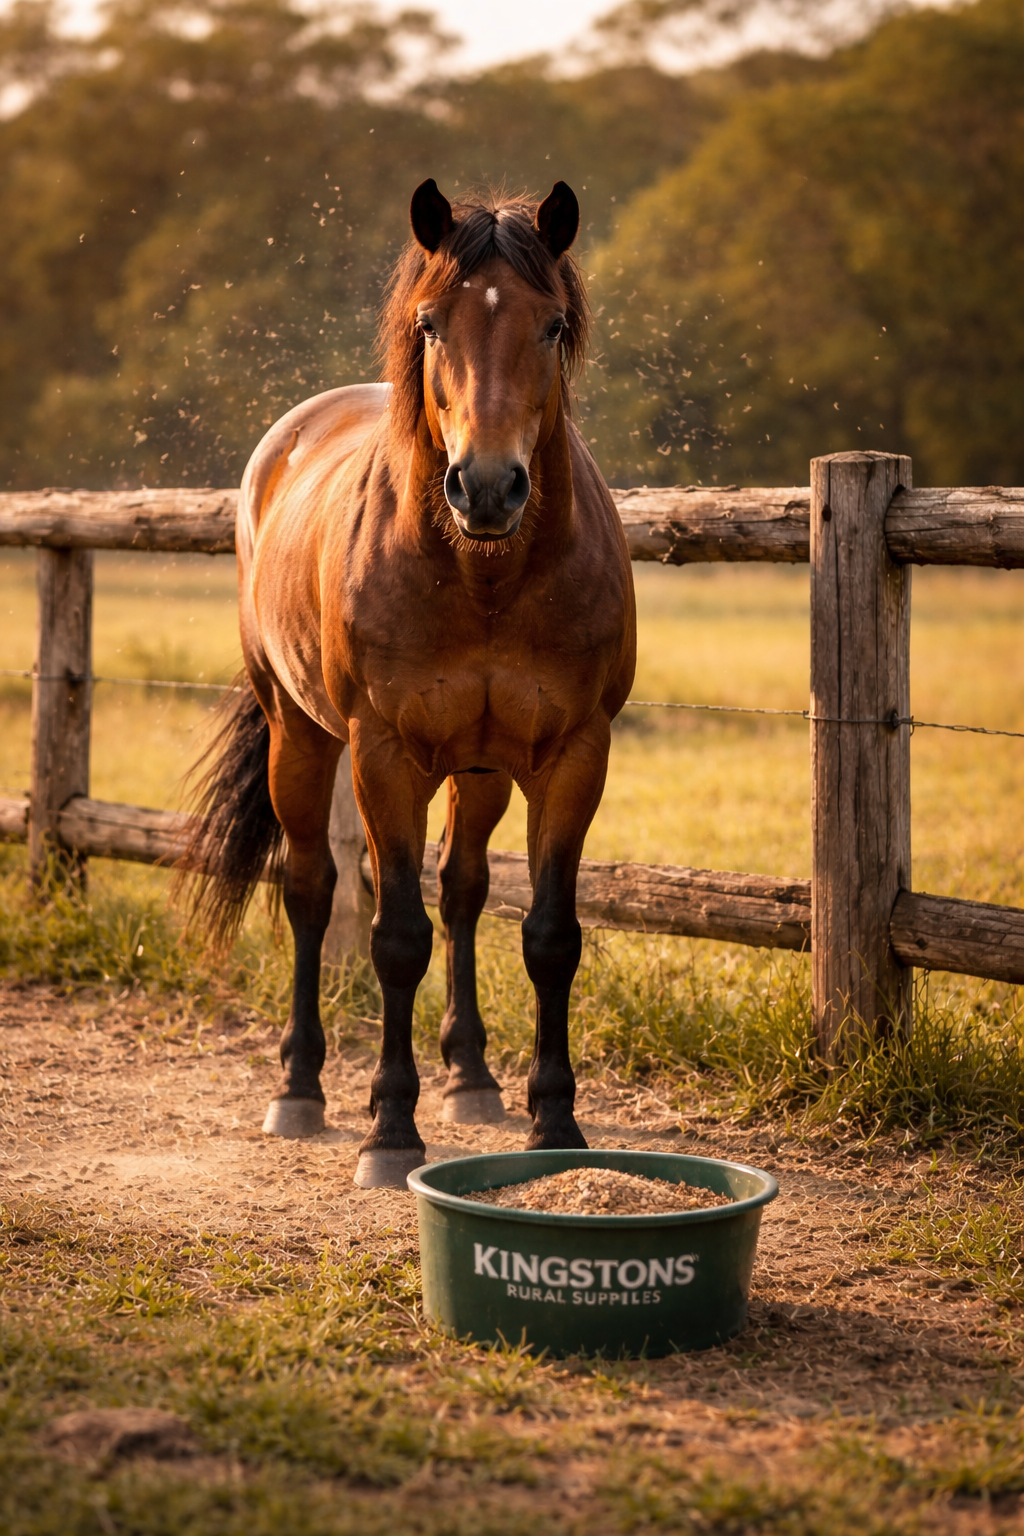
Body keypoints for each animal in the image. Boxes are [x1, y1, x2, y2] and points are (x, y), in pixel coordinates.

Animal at [187, 180, 636, 1188]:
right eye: (431, 323)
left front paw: (556, 1124)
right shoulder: (384, 755)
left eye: (553, 325)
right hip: (301, 737)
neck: (485, 576)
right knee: (311, 888)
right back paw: (300, 1089)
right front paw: (390, 1132)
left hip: (482, 771)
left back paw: (470, 1077)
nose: (488, 487)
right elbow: (395, 938)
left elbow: (549, 935)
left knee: (463, 889)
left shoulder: (574, 756)